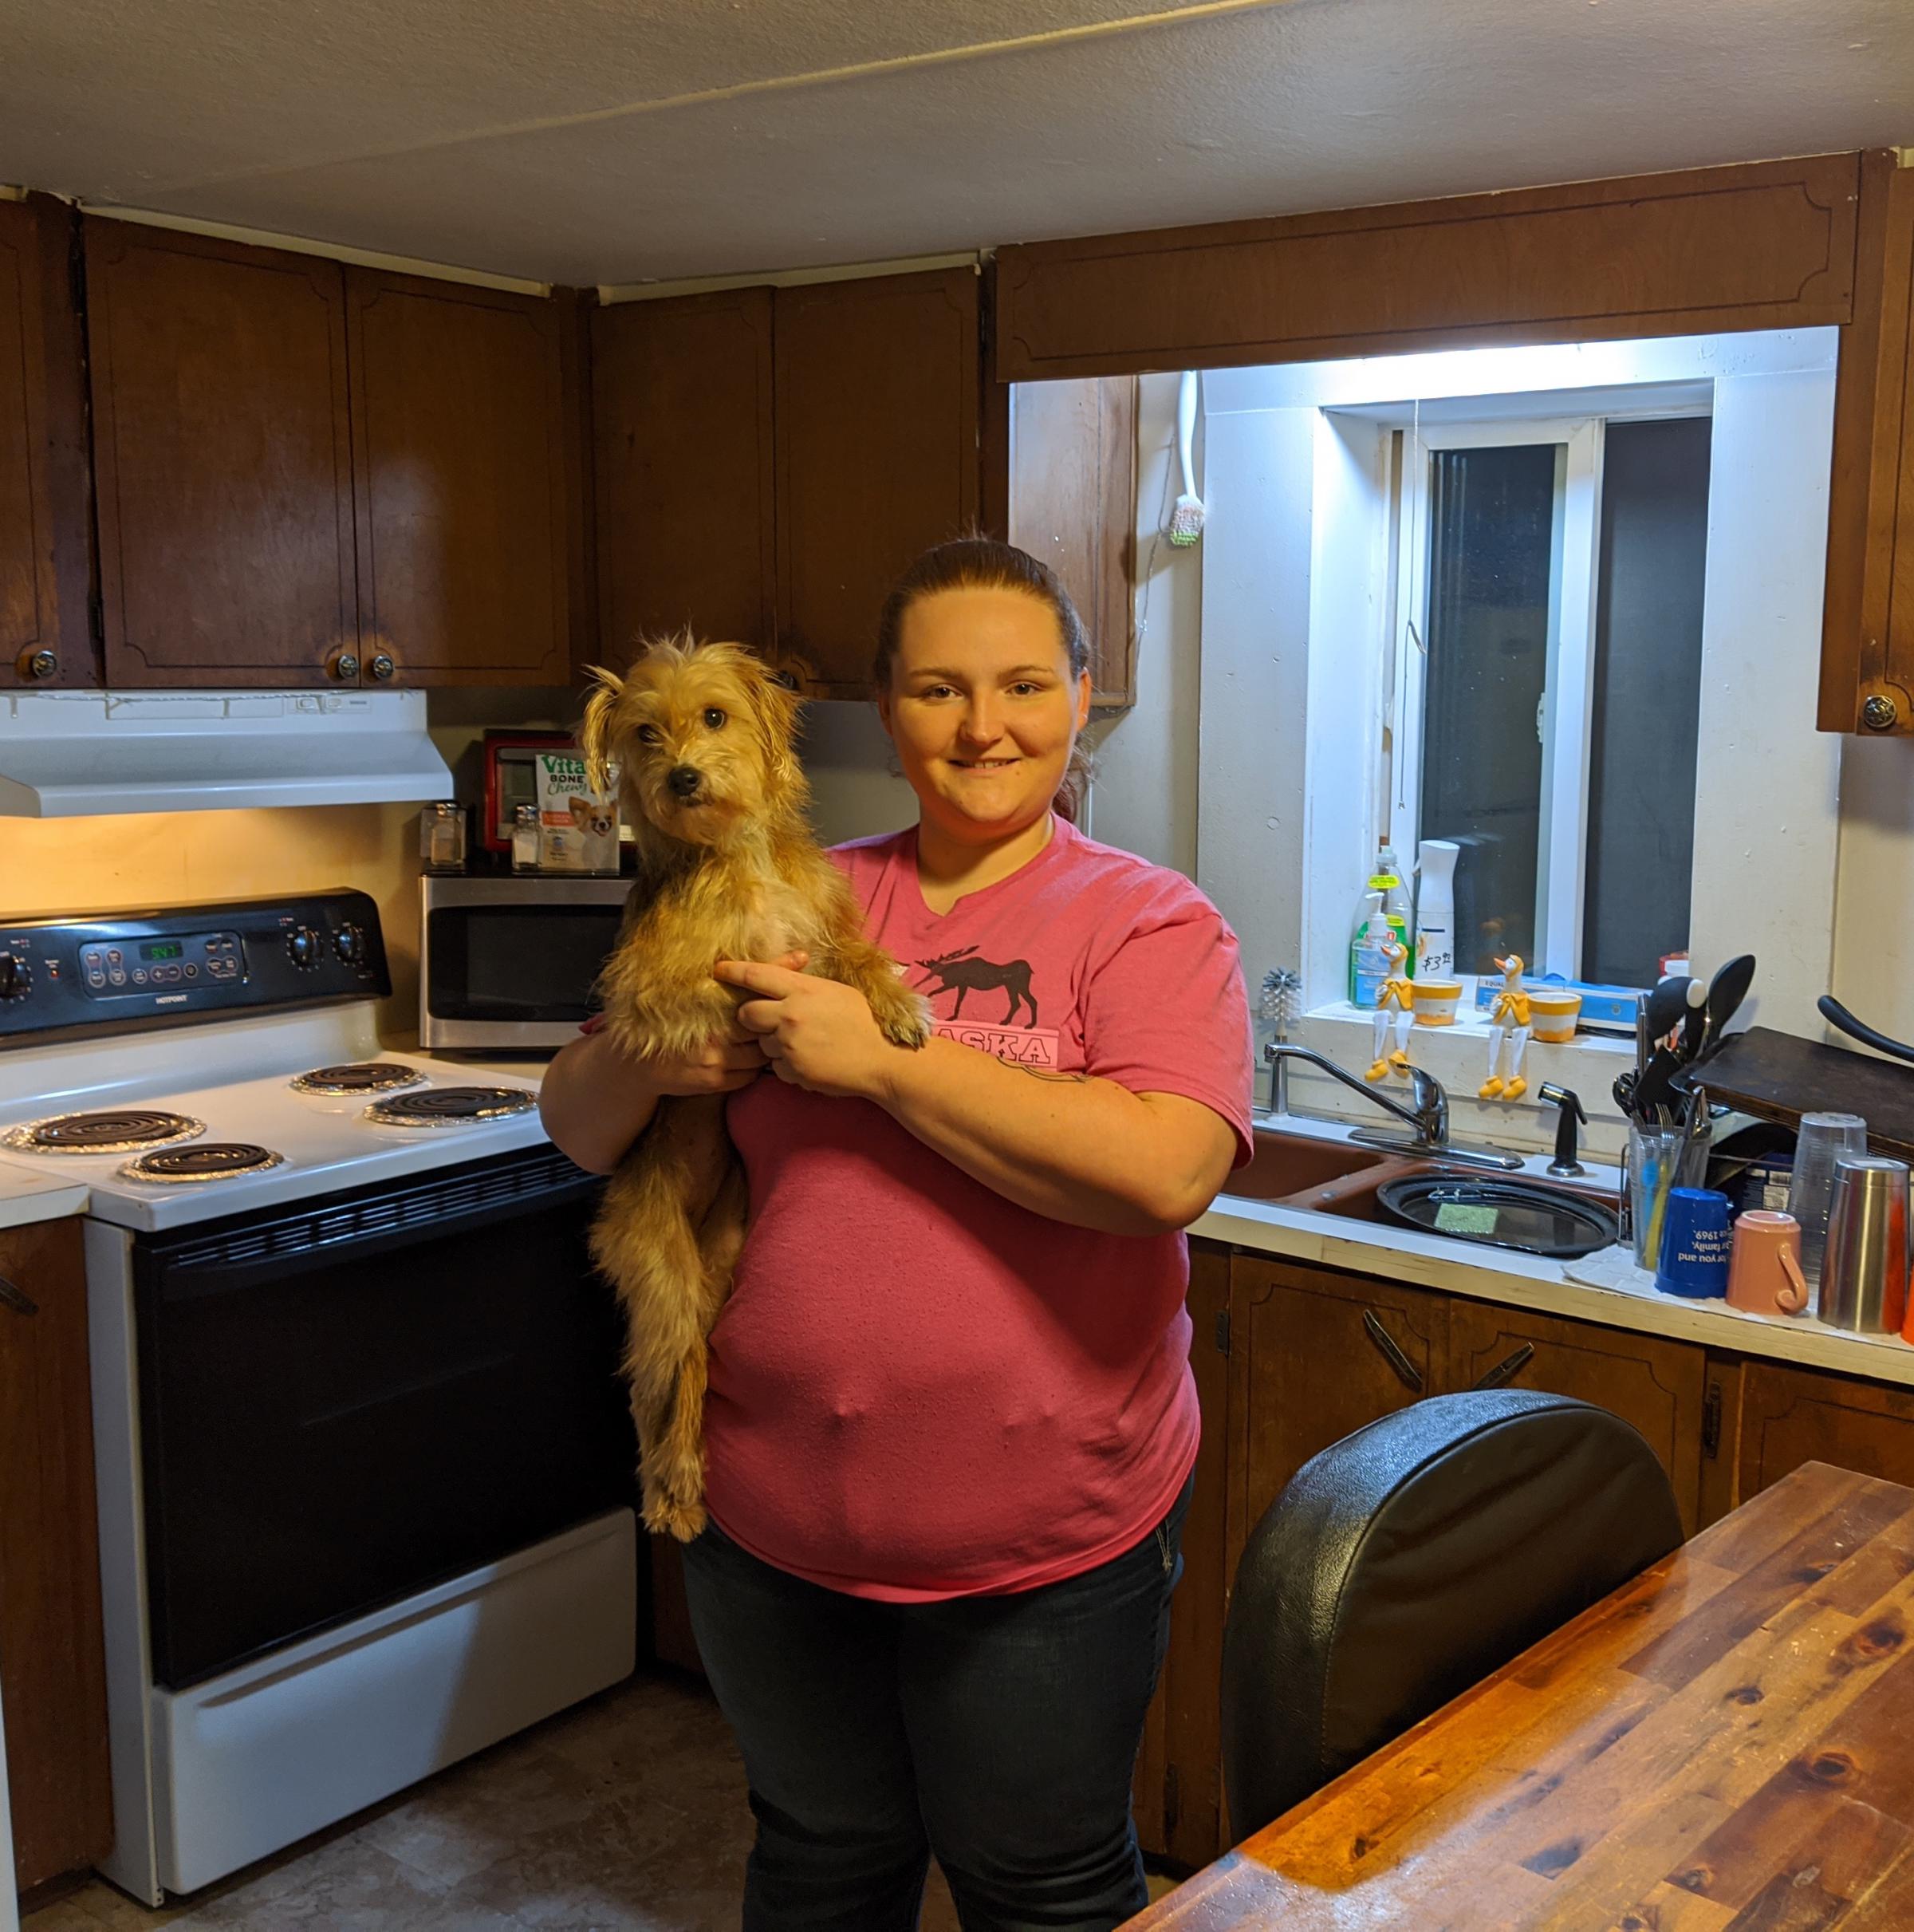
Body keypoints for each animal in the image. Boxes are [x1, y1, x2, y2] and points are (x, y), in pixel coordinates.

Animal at [579, 641, 931, 1545]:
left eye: (714, 716)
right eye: (645, 733)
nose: (683, 777)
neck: (736, 856)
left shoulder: (819, 926)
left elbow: (851, 954)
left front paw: (896, 1004)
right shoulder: (651, 993)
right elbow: (738, 981)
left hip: (722, 1267)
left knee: (694, 1372)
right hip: (661, 1279)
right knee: (657, 1384)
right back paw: (672, 1492)